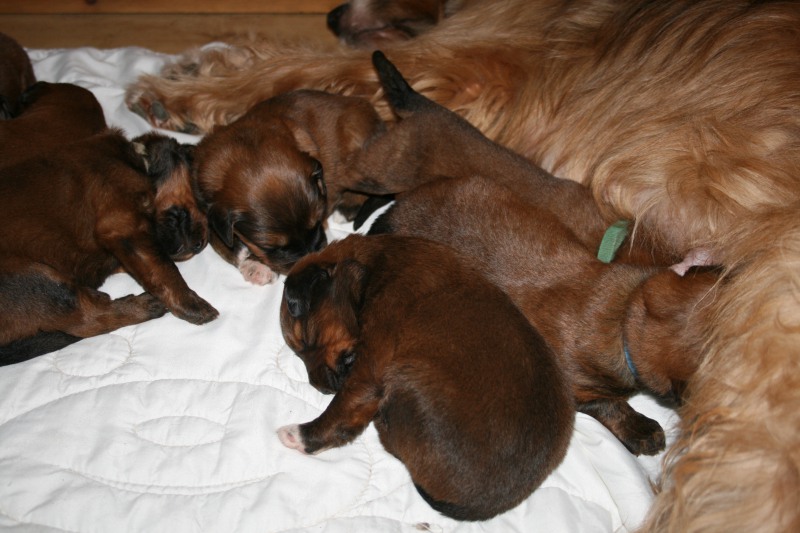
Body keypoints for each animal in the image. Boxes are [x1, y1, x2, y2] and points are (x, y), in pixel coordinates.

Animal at [0, 130, 217, 365]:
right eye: (202, 199)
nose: (200, 245)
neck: (136, 161)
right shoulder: (123, 225)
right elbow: (166, 269)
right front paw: (193, 305)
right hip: (33, 279)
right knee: (87, 319)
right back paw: (145, 305)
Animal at [193, 90, 386, 285]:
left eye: (317, 223)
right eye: (272, 247)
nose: (310, 257)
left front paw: (255, 264)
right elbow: (217, 239)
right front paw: (250, 261)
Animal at [278, 233, 574, 521]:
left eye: (306, 341)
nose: (320, 387)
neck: (371, 265)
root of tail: (487, 505)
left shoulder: (371, 363)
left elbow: (341, 411)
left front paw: (302, 435)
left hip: (405, 380)